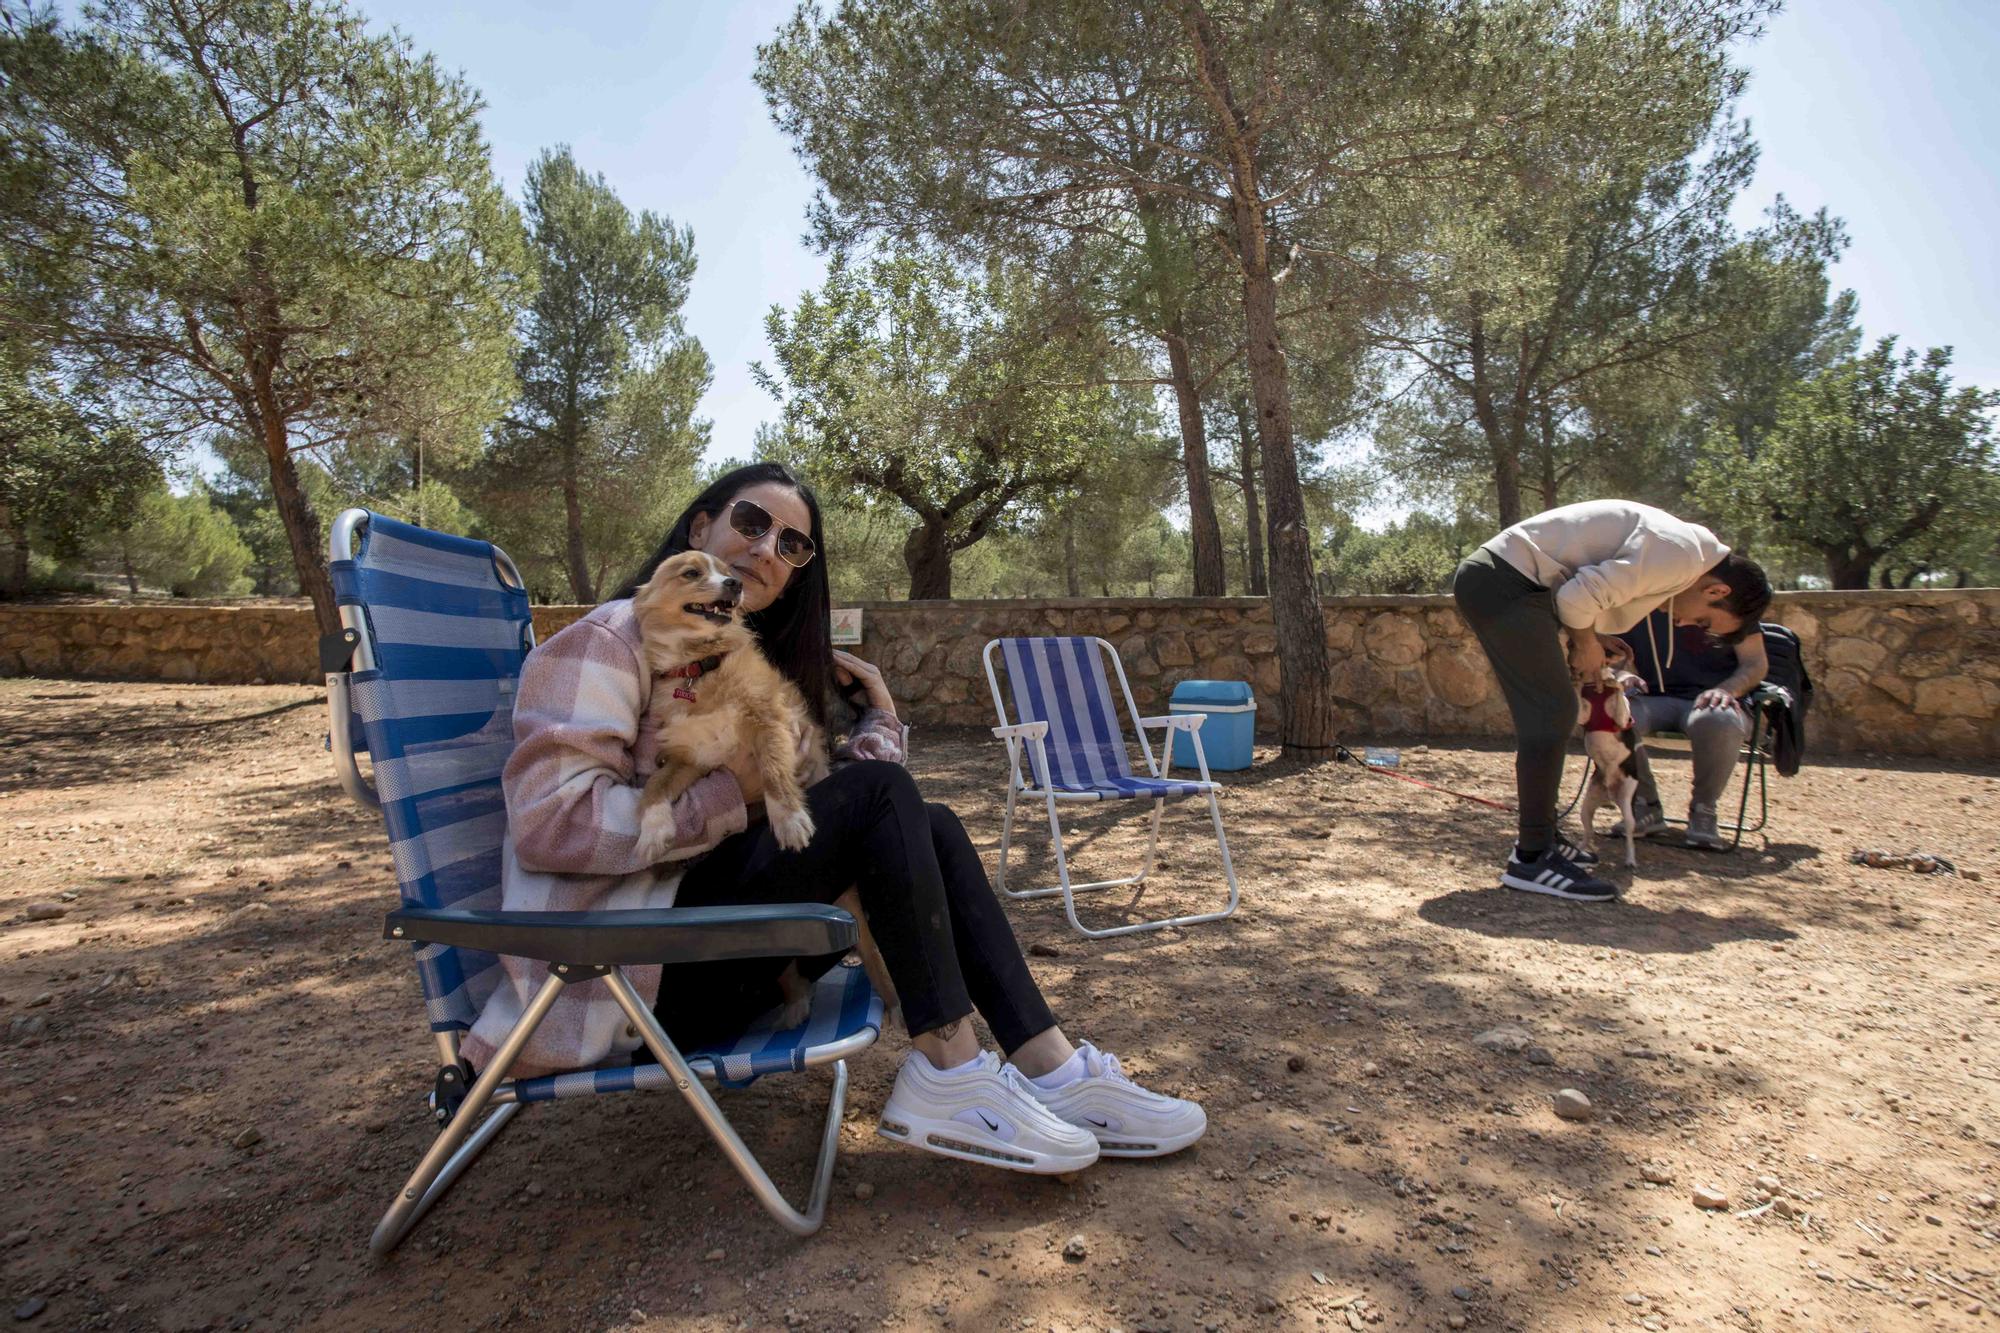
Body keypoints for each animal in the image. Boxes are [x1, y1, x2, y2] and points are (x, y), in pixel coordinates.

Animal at [640, 548, 828, 852]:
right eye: (691, 573)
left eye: (729, 572)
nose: (735, 584)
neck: (699, 667)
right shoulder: (693, 756)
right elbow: (656, 782)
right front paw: (652, 830)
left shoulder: (768, 721)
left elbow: (773, 772)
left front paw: (790, 819)